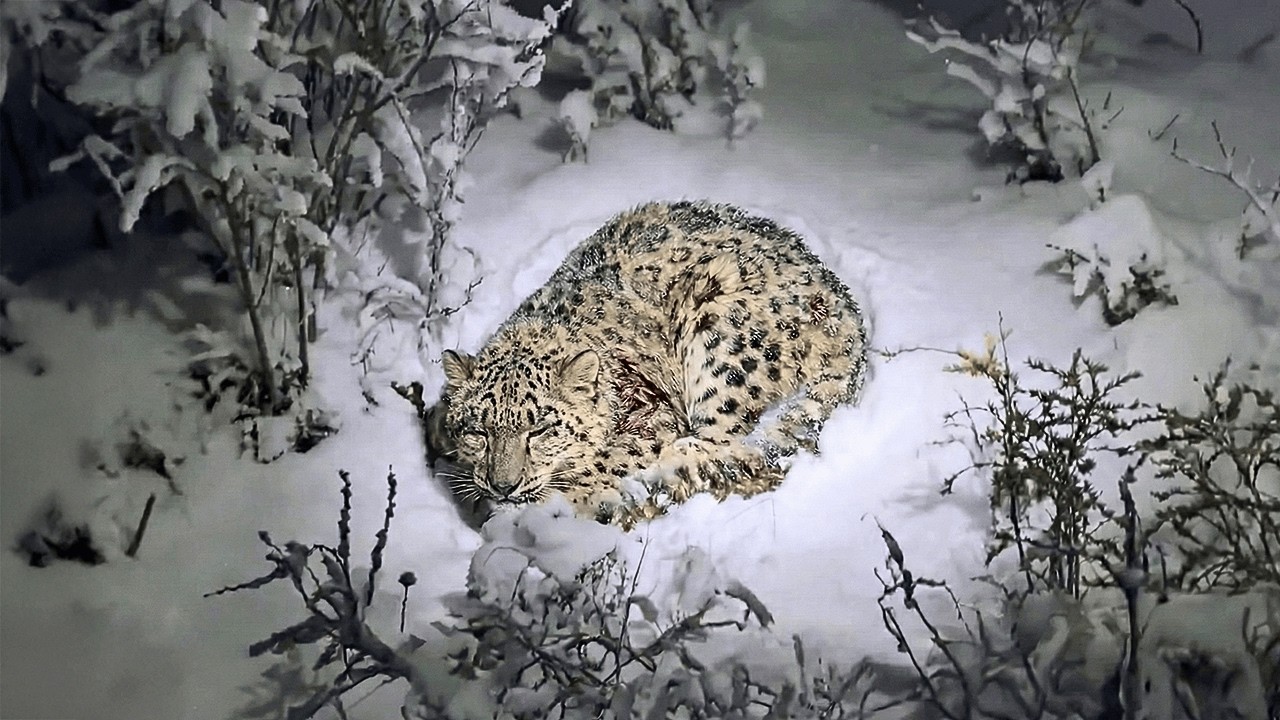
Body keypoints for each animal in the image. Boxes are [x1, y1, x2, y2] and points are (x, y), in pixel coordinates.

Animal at [429, 200, 868, 526]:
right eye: (478, 431)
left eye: (540, 429)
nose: (503, 485)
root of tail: (850, 319)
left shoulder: (651, 414)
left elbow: (607, 463)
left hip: (721, 344)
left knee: (730, 447)